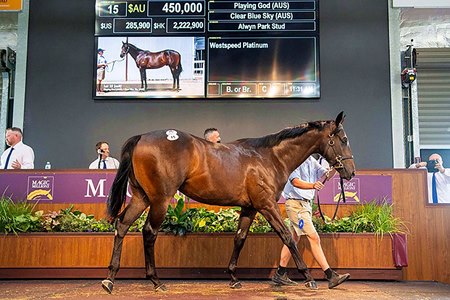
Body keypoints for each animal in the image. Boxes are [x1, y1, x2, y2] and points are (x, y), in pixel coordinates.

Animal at [102, 112, 356, 292]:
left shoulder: (249, 208)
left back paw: (110, 279)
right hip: (160, 200)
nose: (350, 172)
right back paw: (156, 281)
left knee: (122, 225)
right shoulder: (266, 205)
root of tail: (141, 137)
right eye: (343, 139)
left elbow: (239, 239)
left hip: (142, 197)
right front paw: (310, 277)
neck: (270, 157)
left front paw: (233, 277)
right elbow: (287, 237)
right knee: (149, 232)